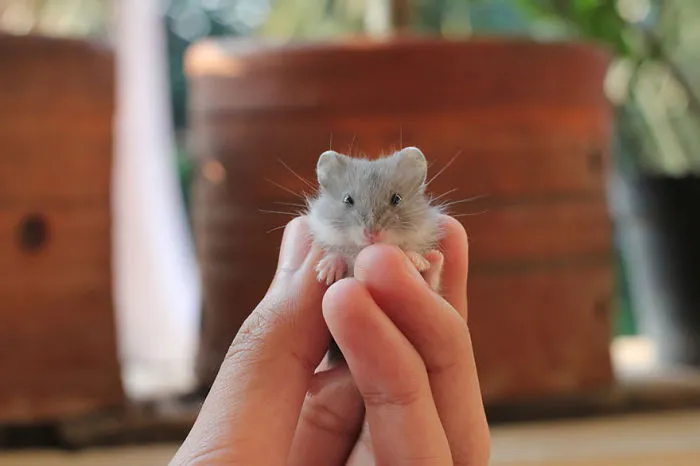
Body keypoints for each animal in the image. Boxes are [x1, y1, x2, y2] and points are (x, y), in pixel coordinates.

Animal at [307, 146, 444, 289]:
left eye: (397, 198)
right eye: (347, 199)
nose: (371, 235)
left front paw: (418, 261)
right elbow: (337, 253)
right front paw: (325, 272)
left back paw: (435, 257)